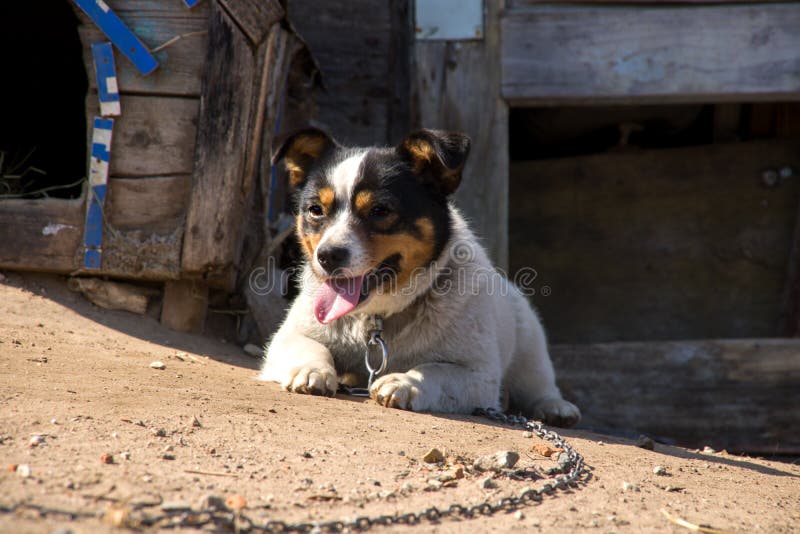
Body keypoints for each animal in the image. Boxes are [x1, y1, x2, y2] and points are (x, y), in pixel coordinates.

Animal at [260, 127, 580, 430]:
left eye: (380, 210)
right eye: (315, 210)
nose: (327, 256)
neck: (377, 316)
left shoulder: (478, 375)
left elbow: (435, 370)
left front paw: (405, 382)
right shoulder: (288, 337)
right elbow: (311, 346)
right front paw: (312, 369)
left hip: (530, 346)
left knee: (538, 385)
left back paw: (556, 408)